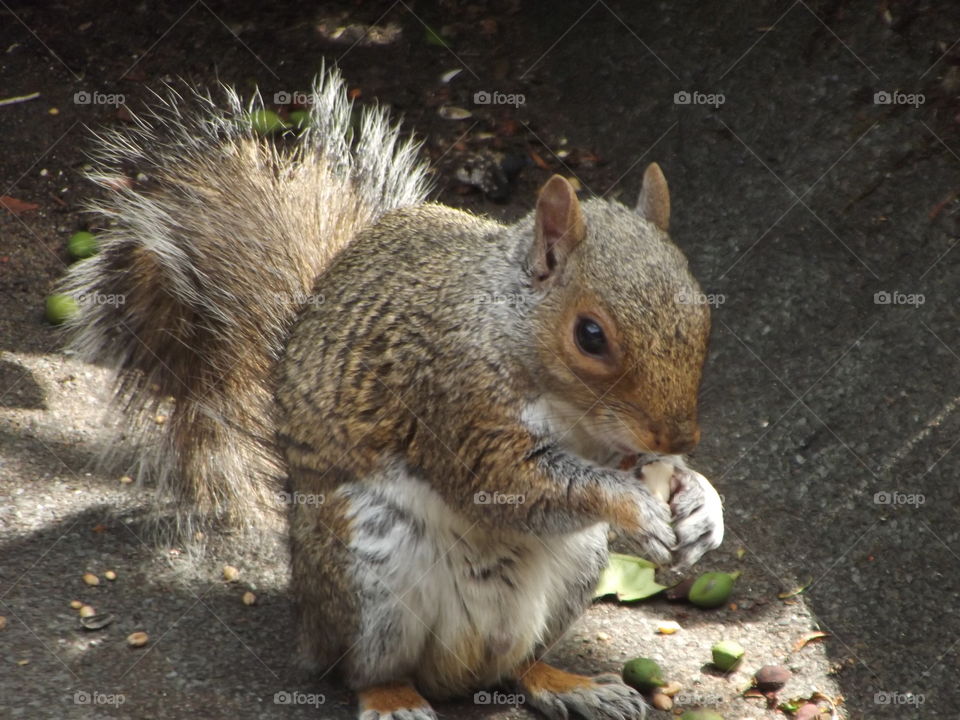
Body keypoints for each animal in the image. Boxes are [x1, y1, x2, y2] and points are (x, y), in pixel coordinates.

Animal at [60, 67, 720, 720]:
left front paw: (699, 503)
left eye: (701, 305)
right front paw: (634, 506)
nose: (679, 435)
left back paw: (570, 684)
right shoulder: (454, 396)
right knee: (365, 669)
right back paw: (394, 698)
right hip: (367, 574)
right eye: (590, 335)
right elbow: (507, 482)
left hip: (574, 569)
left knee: (519, 667)